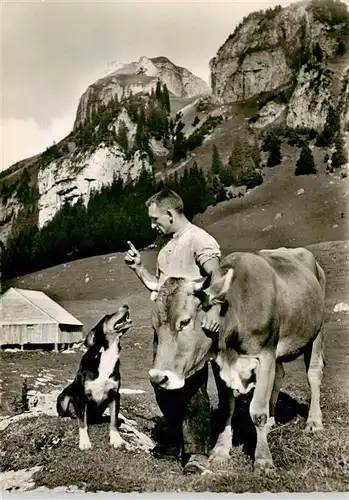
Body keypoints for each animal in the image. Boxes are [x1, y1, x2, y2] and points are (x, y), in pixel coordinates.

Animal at [55, 302, 132, 452]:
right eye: (107, 316)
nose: (125, 305)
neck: (107, 354)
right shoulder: (82, 396)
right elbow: (82, 422)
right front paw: (85, 441)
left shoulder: (115, 394)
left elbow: (113, 420)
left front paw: (116, 438)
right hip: (65, 395)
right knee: (66, 411)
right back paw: (65, 417)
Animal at [148, 247, 324, 472]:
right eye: (154, 326)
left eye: (185, 322)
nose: (158, 378)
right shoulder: (220, 363)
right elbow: (226, 408)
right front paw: (221, 451)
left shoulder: (265, 355)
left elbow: (257, 412)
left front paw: (263, 460)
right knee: (279, 375)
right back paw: (273, 420)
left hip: (316, 332)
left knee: (314, 374)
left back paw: (314, 422)